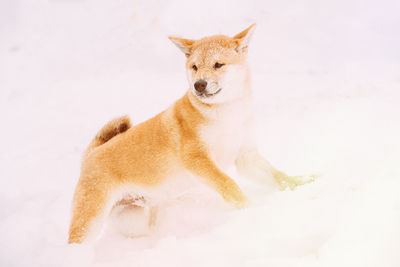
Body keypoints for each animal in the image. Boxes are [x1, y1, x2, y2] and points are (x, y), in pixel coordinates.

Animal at [69, 24, 312, 245]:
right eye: (194, 67)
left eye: (218, 64)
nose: (199, 85)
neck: (226, 116)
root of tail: (90, 155)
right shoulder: (197, 158)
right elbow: (229, 185)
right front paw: (252, 208)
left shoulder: (246, 157)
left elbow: (279, 176)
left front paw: (303, 182)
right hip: (90, 221)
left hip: (133, 220)